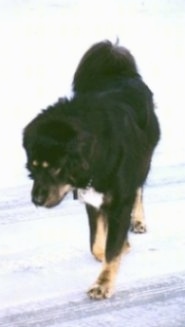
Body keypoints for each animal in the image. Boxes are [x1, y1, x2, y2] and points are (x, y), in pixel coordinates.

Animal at [22, 40, 160, 300]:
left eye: (56, 168)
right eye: (33, 167)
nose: (36, 200)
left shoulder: (120, 199)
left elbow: (111, 248)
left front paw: (103, 284)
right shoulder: (92, 200)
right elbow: (97, 244)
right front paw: (118, 249)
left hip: (143, 159)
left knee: (139, 189)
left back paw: (138, 220)